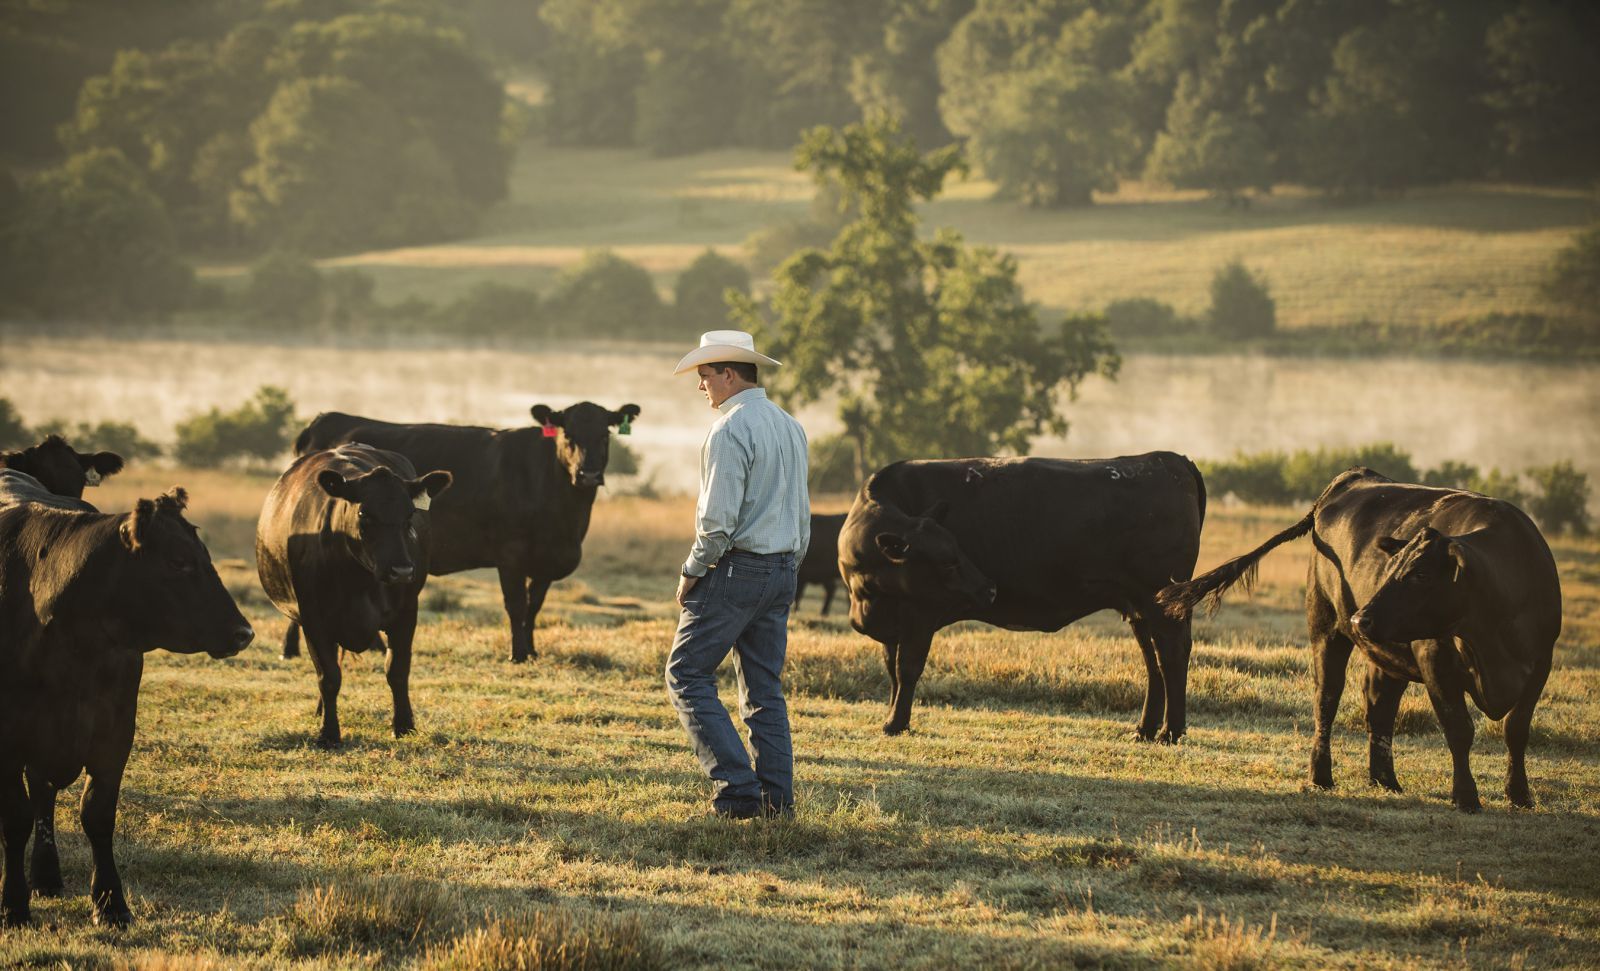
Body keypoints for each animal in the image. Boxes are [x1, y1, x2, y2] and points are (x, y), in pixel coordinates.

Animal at [0, 487, 254, 927]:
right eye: (177, 561)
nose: (244, 632)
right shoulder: (9, 743)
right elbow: (15, 820)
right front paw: (13, 905)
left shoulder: (114, 734)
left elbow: (97, 815)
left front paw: (110, 903)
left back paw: (47, 877)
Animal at [256, 445, 452, 748]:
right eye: (364, 514)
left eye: (409, 515)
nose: (402, 570)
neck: (360, 580)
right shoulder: (314, 619)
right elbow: (328, 676)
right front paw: (329, 733)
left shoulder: (406, 613)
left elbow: (397, 670)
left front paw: (404, 725)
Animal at [290, 402, 639, 662]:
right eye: (568, 434)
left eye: (605, 435)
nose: (588, 473)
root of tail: (326, 418)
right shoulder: (510, 555)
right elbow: (516, 604)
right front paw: (518, 654)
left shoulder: (545, 562)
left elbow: (534, 605)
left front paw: (532, 650)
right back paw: (292, 650)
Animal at [840, 453, 1206, 741]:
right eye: (947, 559)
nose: (989, 588)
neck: (868, 596)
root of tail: (1168, 459)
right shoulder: (893, 623)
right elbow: (891, 668)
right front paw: (891, 715)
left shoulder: (921, 612)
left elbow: (907, 668)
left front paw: (896, 723)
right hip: (1140, 606)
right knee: (1153, 661)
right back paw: (1145, 729)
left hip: (1162, 603)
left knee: (1171, 655)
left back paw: (1170, 732)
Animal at [1157, 468, 1562, 812]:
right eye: (1393, 568)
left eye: (1420, 574)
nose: (1361, 618)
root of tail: (1353, 478)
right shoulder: (1436, 661)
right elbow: (1459, 729)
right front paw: (1466, 797)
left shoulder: (1540, 664)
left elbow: (1515, 730)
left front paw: (1520, 795)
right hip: (1325, 628)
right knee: (1327, 699)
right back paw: (1321, 775)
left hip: (1389, 650)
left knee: (1379, 706)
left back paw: (1385, 780)